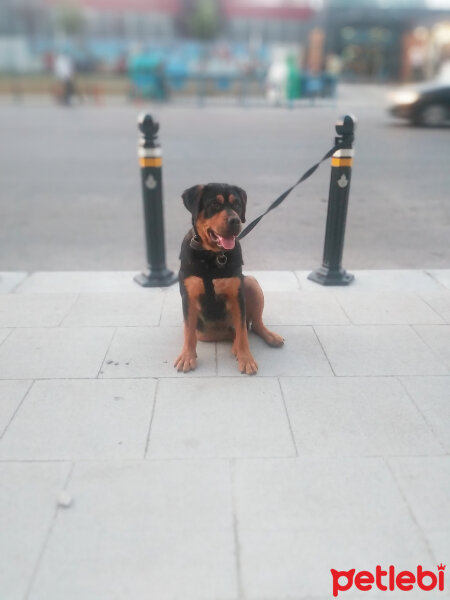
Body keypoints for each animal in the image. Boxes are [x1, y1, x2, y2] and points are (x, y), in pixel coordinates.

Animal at [174, 182, 284, 376]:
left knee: (251, 326)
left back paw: (268, 337)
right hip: (204, 332)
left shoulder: (237, 296)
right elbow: (188, 331)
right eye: (214, 204)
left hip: (250, 283)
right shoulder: (189, 296)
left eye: (237, 205)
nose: (235, 221)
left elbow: (242, 330)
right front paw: (187, 356)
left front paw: (246, 358)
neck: (213, 256)